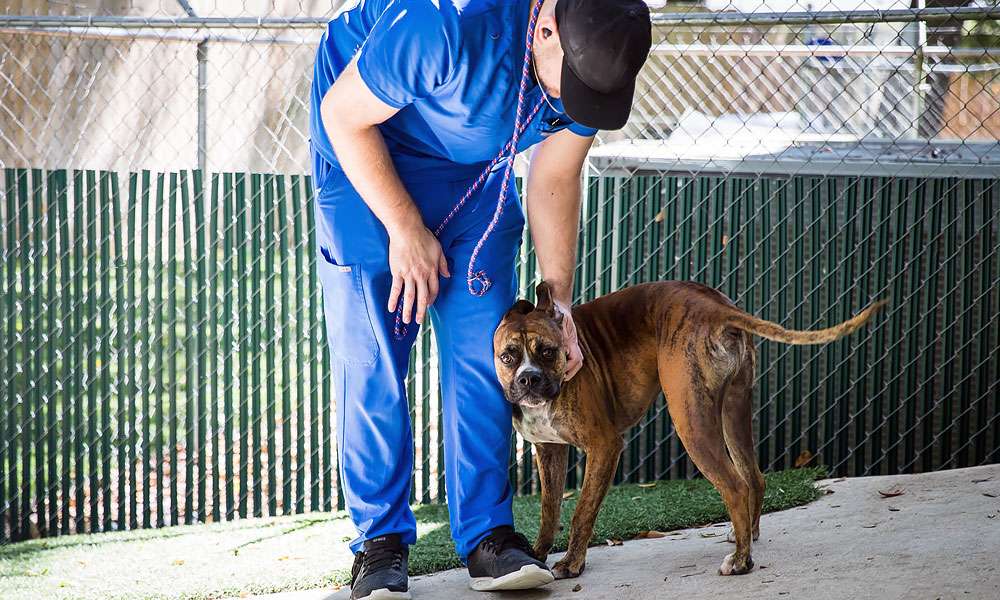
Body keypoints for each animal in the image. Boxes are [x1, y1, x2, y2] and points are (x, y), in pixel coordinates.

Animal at [492, 282, 884, 580]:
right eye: (508, 357)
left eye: (548, 351)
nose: (529, 379)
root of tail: (714, 306)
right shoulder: (548, 451)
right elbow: (549, 511)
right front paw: (536, 554)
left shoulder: (604, 447)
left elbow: (581, 512)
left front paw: (572, 564)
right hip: (732, 412)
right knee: (753, 477)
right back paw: (746, 537)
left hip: (691, 420)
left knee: (735, 486)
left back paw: (741, 562)